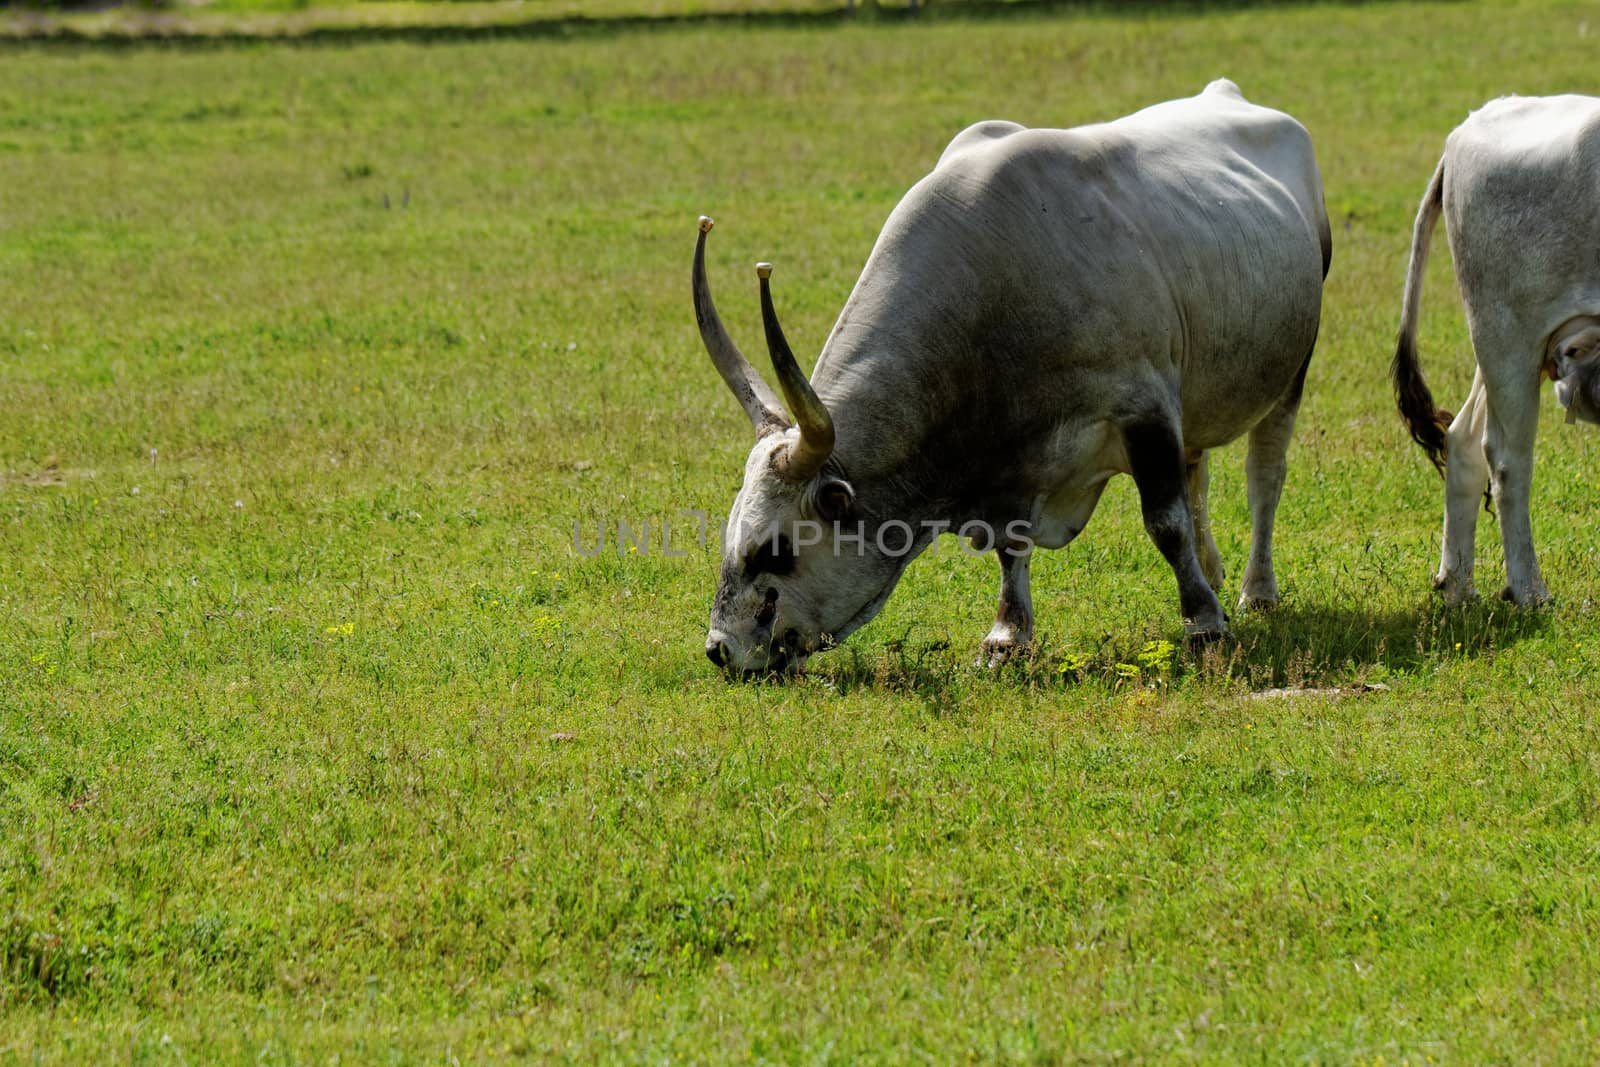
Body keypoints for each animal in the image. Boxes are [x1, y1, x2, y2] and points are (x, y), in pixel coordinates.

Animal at [1388, 94, 1600, 604]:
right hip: (1510, 338)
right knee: (1506, 460)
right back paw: (1528, 589)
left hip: (1502, 344)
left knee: (1463, 438)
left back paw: (1456, 584)